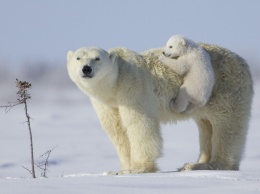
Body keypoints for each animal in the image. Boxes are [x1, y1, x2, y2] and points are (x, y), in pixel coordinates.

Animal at [67, 43, 254, 174]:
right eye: (78, 58)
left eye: (97, 58)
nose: (86, 69)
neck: (114, 84)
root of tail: (244, 63)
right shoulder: (106, 103)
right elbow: (117, 130)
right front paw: (122, 168)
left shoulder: (132, 87)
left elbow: (139, 125)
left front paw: (138, 168)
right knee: (206, 124)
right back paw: (195, 163)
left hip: (225, 88)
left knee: (226, 126)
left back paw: (214, 164)